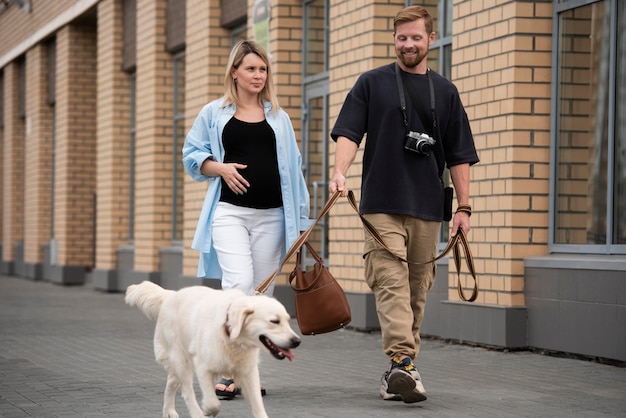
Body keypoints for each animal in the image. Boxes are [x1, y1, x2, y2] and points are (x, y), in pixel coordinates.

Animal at [124, 280, 300, 418]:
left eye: (288, 320)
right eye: (274, 321)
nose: (297, 341)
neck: (231, 334)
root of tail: (171, 296)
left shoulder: (248, 372)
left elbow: (258, 405)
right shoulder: (204, 367)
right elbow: (212, 403)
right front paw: (208, 411)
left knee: (171, 383)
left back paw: (169, 411)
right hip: (181, 361)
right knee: (186, 392)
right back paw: (196, 414)